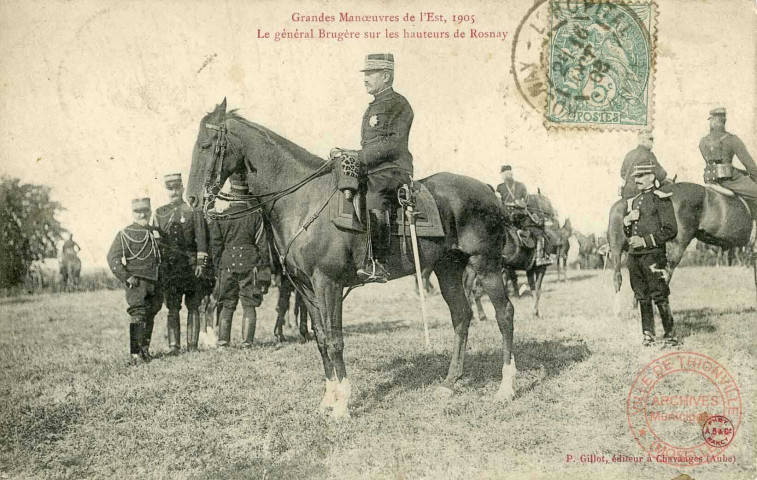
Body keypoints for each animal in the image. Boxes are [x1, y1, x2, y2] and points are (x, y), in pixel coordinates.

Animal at [186, 100, 516, 416]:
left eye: (206, 145)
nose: (192, 199)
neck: (303, 201)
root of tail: (488, 190)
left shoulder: (328, 282)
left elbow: (335, 340)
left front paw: (342, 404)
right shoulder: (306, 287)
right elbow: (321, 338)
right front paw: (327, 400)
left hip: (486, 264)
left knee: (505, 314)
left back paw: (506, 388)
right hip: (448, 268)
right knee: (461, 317)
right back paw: (449, 384)